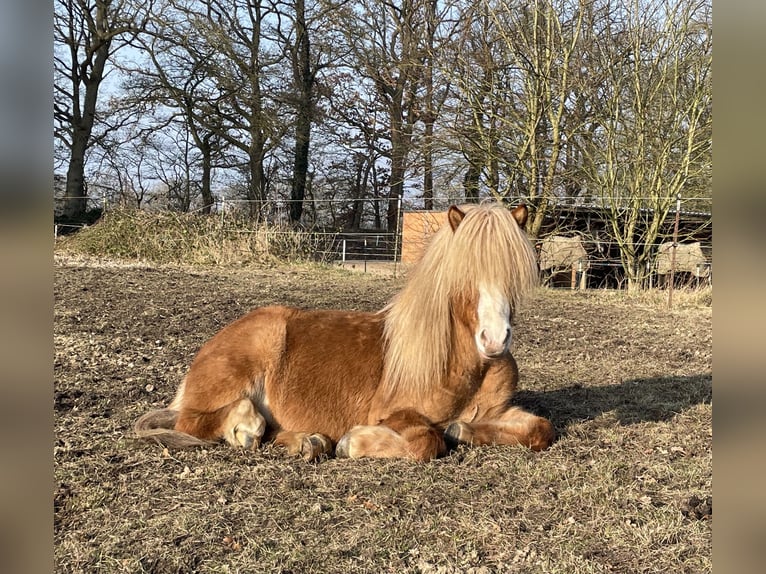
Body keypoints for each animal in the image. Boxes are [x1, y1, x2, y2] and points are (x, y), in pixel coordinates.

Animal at [134, 202, 555, 461]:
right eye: (463, 275)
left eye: (514, 273)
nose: (494, 339)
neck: (463, 366)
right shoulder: (393, 413)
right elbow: (427, 440)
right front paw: (356, 442)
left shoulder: (501, 411)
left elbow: (540, 429)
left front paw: (462, 429)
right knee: (198, 421)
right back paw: (246, 429)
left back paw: (309, 441)